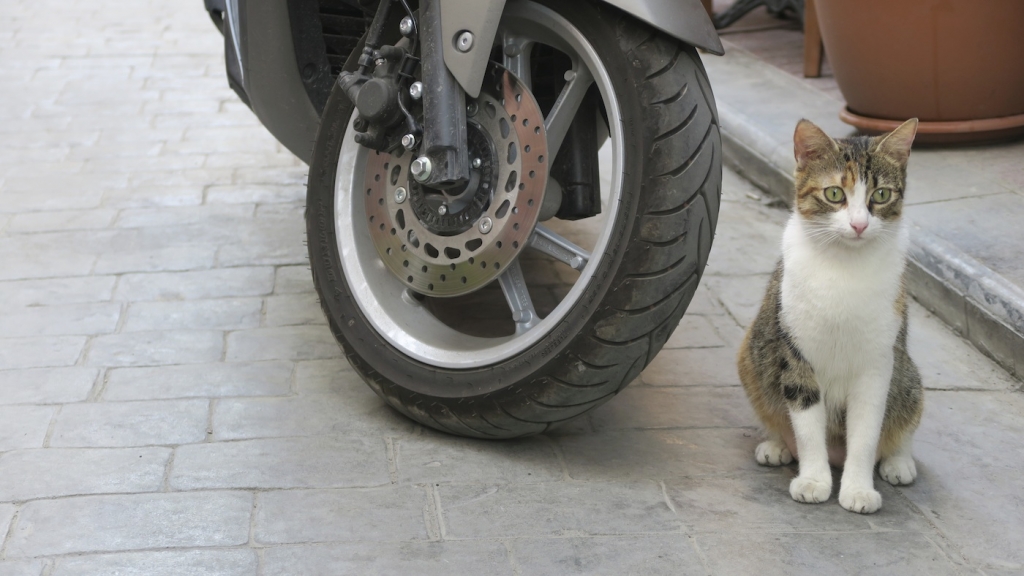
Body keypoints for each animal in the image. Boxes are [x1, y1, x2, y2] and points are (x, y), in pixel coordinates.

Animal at [737, 118, 921, 512]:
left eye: (881, 195)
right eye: (835, 194)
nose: (859, 225)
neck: (844, 266)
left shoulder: (878, 361)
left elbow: (866, 431)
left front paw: (858, 489)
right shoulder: (796, 354)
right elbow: (807, 427)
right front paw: (813, 480)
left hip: (908, 374)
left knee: (905, 415)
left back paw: (899, 461)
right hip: (749, 355)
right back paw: (776, 445)